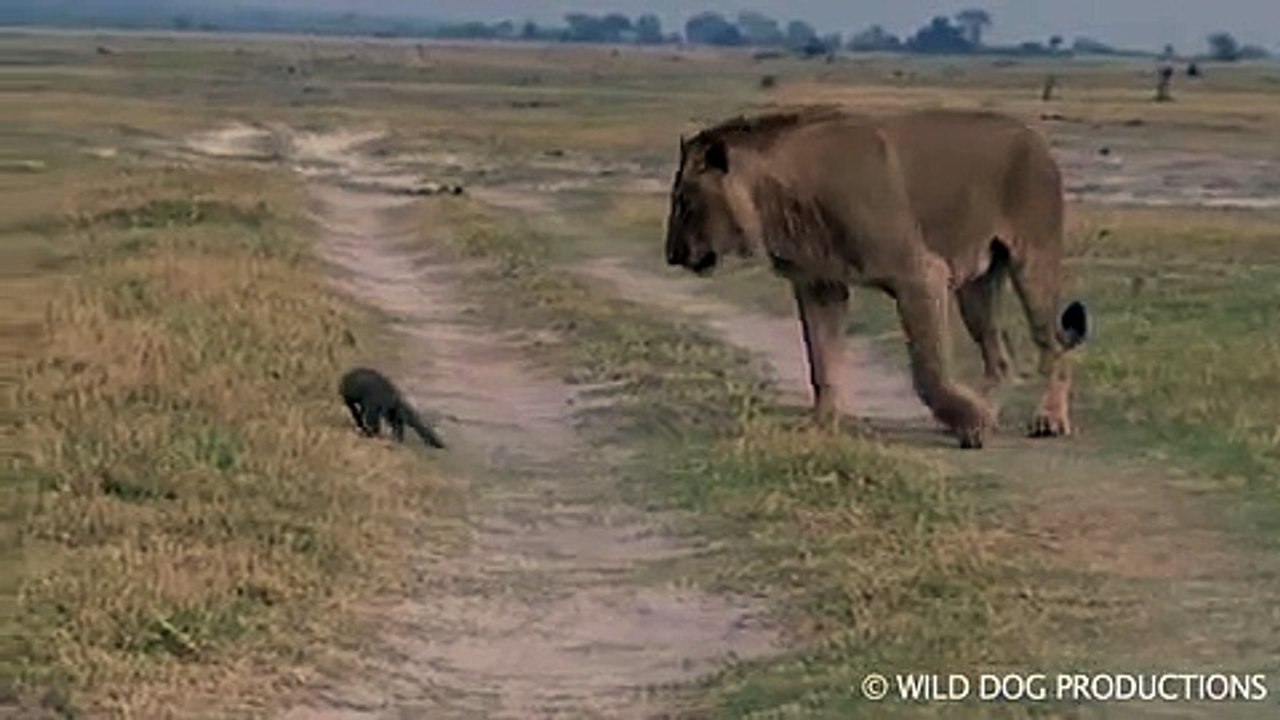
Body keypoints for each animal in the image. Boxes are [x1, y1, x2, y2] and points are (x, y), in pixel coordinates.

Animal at [663, 106, 1088, 449]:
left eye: (684, 203)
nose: (671, 256)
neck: (779, 196)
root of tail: (1034, 137)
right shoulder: (820, 285)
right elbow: (821, 360)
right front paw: (821, 424)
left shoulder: (920, 275)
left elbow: (927, 370)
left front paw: (971, 424)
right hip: (976, 288)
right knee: (999, 356)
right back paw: (988, 408)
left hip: (1033, 263)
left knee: (1054, 346)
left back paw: (1048, 420)